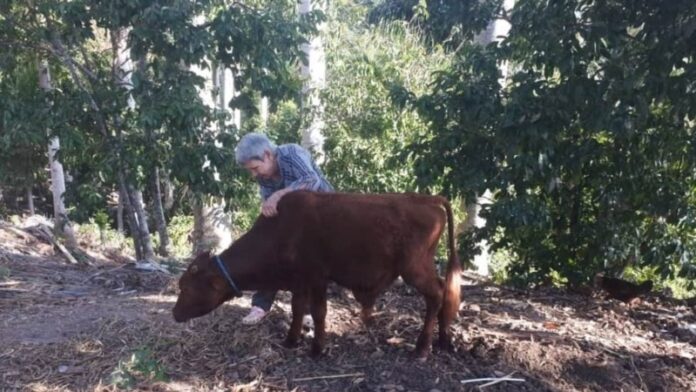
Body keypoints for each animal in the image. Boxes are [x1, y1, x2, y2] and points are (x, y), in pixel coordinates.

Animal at [173, 191, 462, 360]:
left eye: (186, 288)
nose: (175, 313)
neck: (280, 231)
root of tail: (426, 198)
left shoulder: (317, 277)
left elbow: (318, 311)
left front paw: (317, 348)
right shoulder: (299, 281)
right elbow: (297, 308)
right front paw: (291, 340)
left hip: (415, 268)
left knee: (436, 294)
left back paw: (422, 349)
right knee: (445, 291)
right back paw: (444, 340)